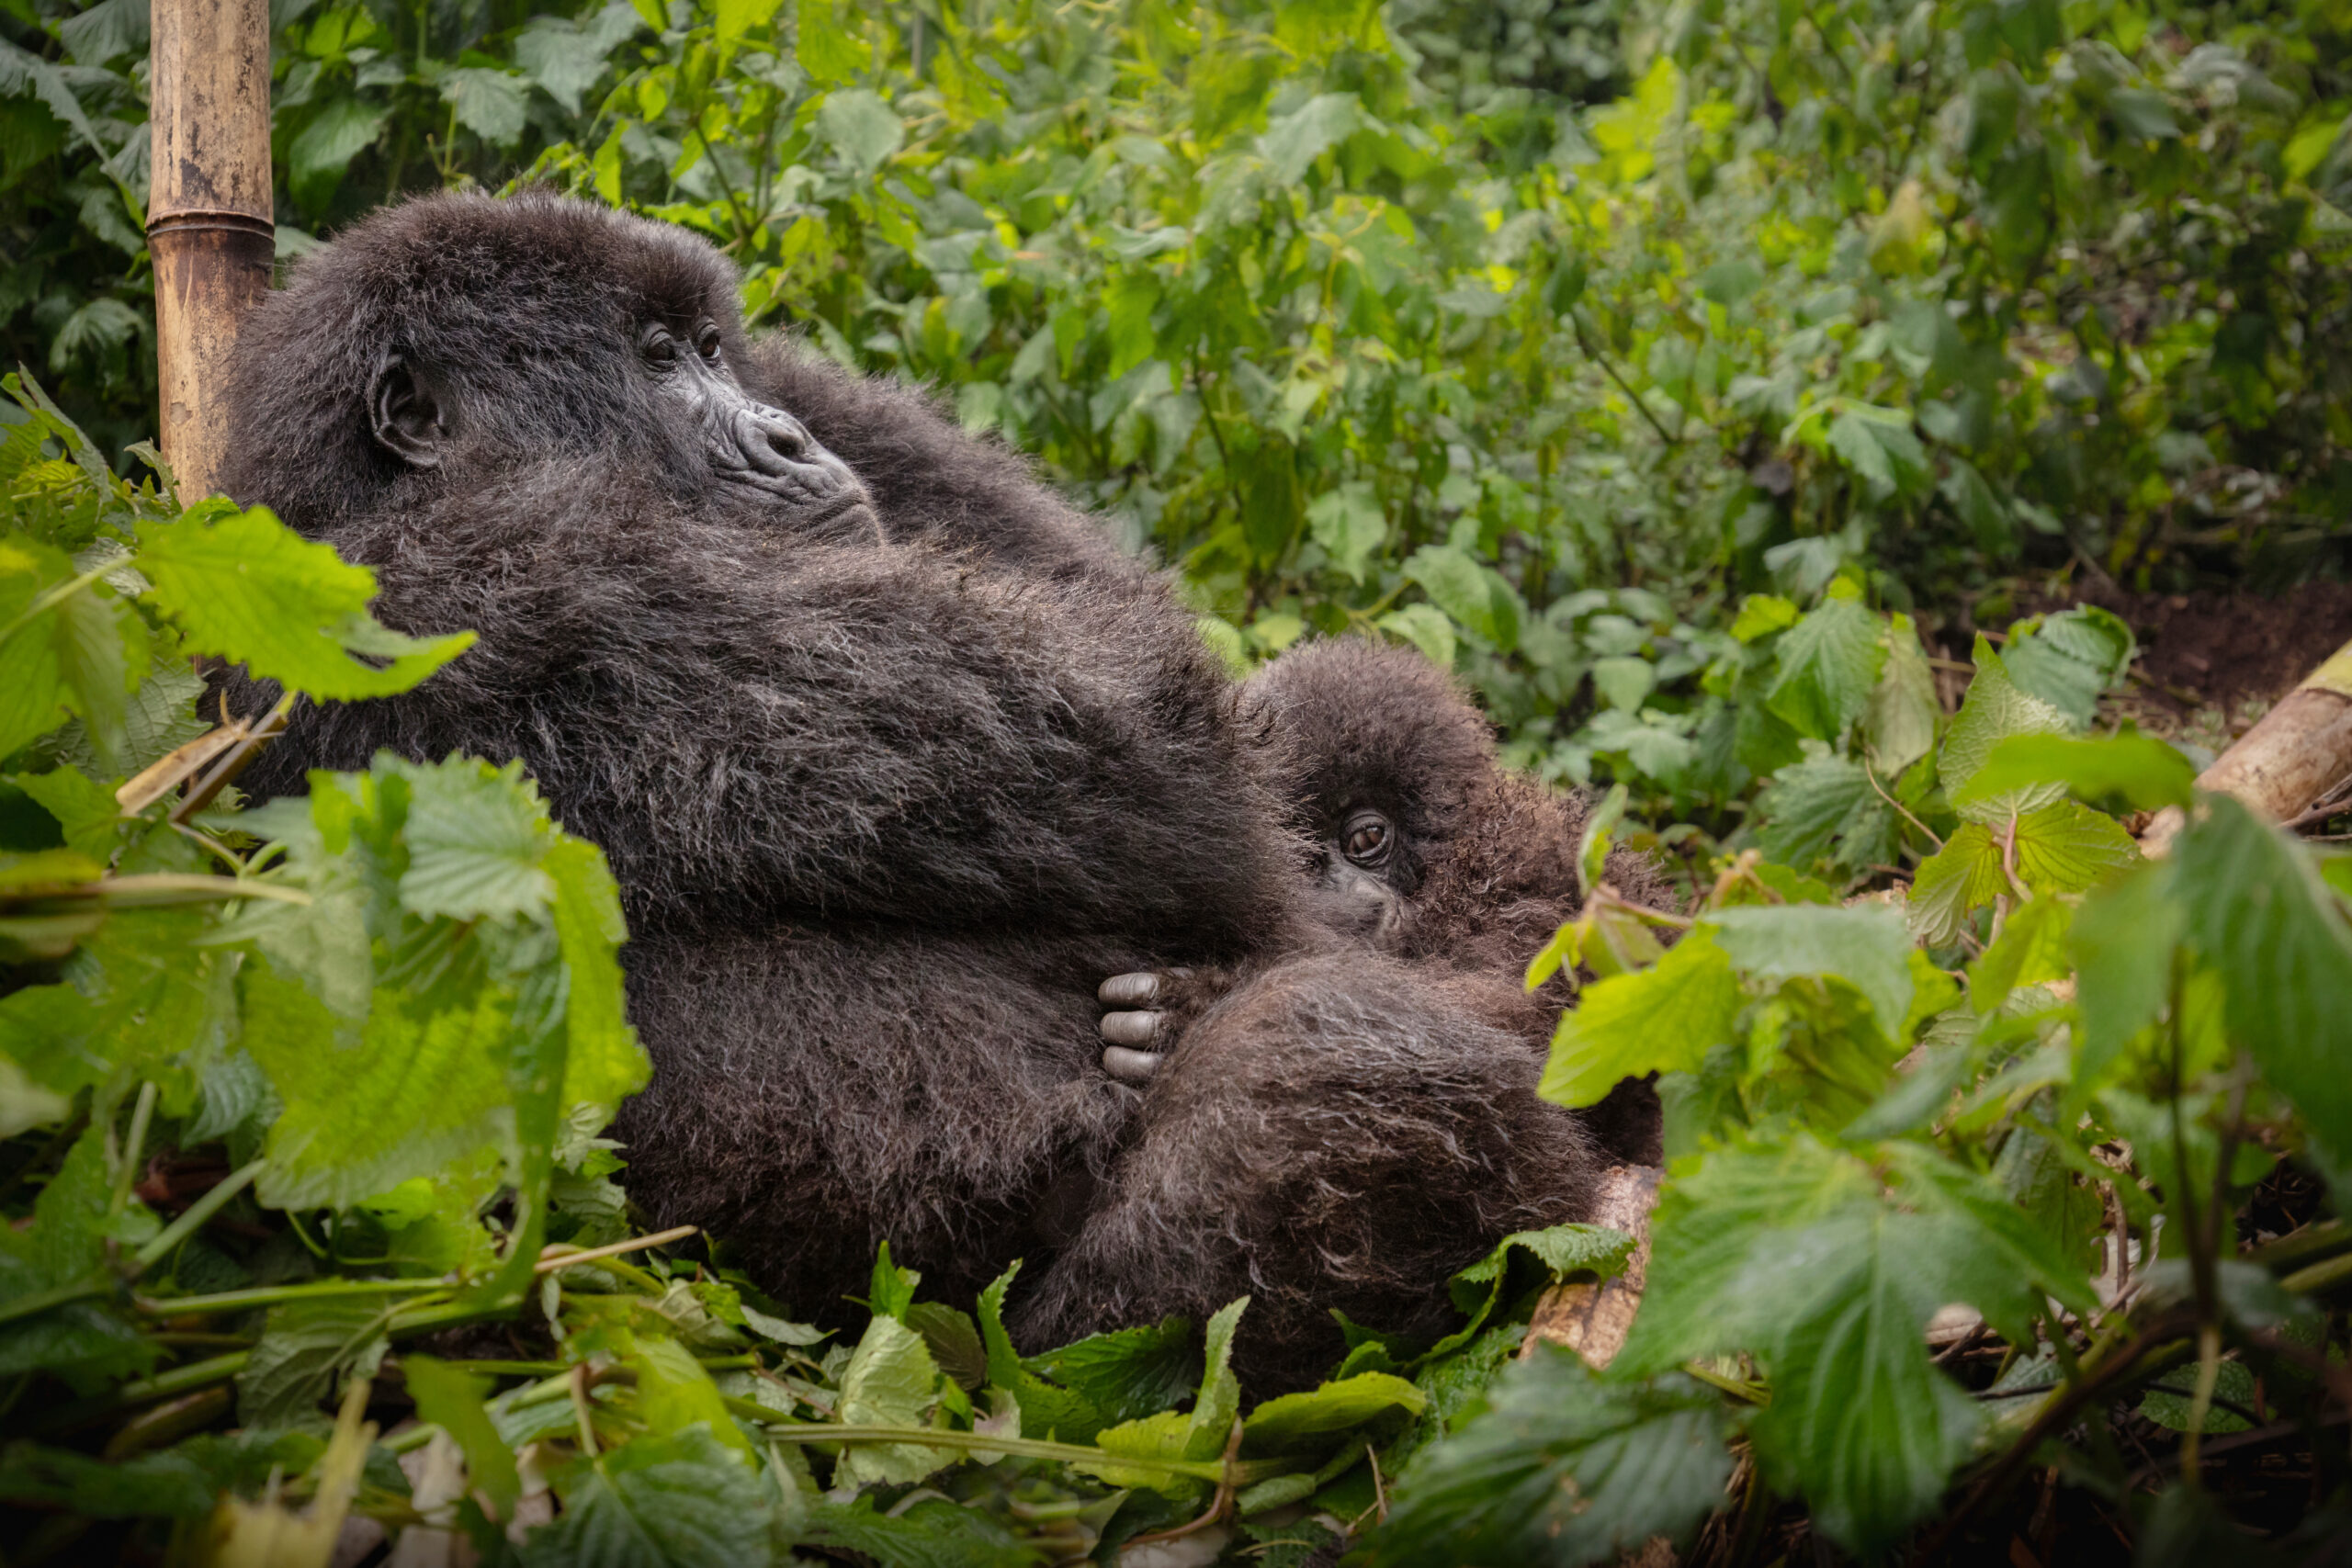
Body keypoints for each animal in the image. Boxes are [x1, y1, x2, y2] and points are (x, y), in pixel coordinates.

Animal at [212, 191, 1611, 1386]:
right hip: (1005, 1345)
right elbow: (1156, 743)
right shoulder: (460, 594)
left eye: (713, 349)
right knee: (1327, 1073)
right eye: (656, 362)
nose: (784, 438)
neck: (370, 483)